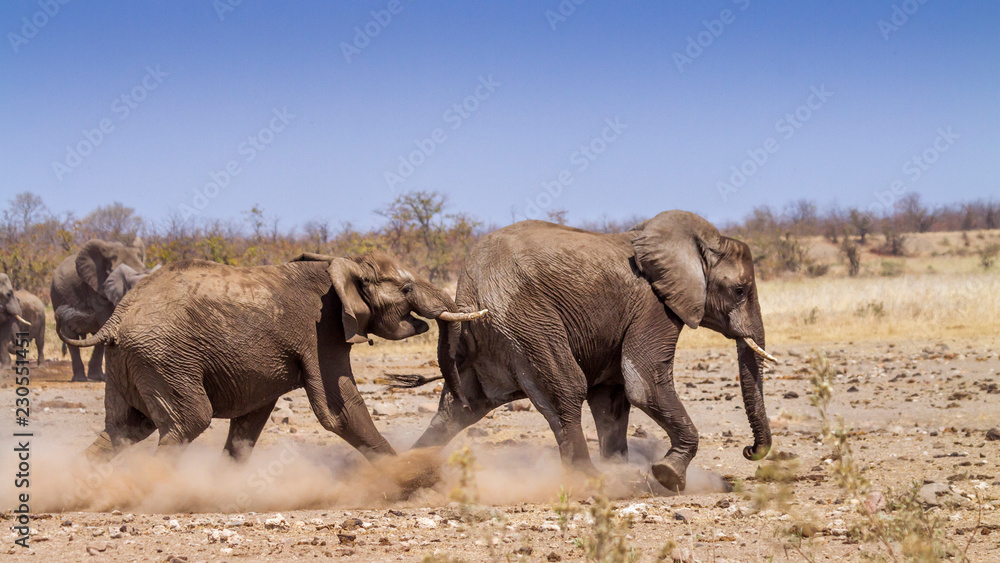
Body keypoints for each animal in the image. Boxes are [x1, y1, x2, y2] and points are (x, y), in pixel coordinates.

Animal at [50, 237, 147, 382]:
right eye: (112, 272)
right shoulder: (96, 290)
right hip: (57, 296)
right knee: (70, 336)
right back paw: (80, 379)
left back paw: (97, 378)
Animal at [58, 251, 486, 466]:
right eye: (407, 287)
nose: (464, 402)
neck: (340, 261)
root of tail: (115, 319)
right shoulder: (321, 329)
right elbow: (340, 410)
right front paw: (409, 479)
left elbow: (252, 419)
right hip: (163, 358)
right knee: (186, 423)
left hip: (130, 362)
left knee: (123, 430)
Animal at [389, 210, 775, 492]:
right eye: (740, 290)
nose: (749, 450)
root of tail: (467, 290)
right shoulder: (655, 307)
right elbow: (643, 383)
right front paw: (667, 476)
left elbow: (613, 400)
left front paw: (624, 470)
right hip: (526, 322)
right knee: (566, 389)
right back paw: (589, 480)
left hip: (487, 339)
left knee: (459, 409)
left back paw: (404, 475)